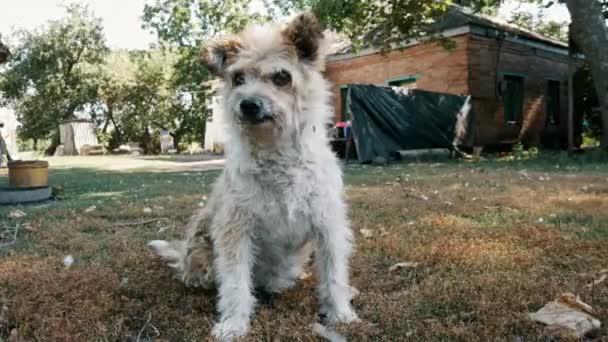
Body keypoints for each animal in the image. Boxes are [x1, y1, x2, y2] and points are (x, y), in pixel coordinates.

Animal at [149, 12, 358, 340]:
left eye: (282, 77)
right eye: (238, 78)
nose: (248, 104)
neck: (277, 156)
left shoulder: (328, 226)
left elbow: (334, 273)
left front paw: (340, 313)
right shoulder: (236, 231)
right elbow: (235, 283)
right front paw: (234, 324)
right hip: (203, 257)